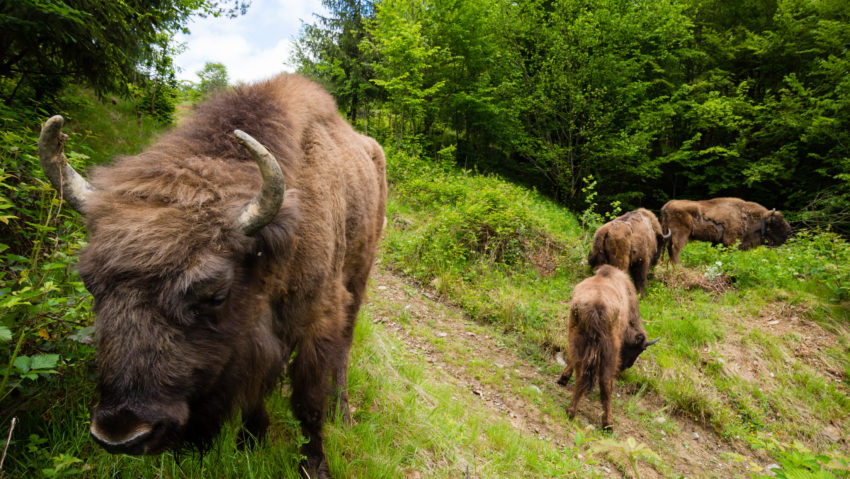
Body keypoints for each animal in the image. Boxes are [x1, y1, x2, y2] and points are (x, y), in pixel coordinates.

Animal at [36, 75, 386, 479]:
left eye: (214, 293)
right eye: (90, 283)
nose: (120, 433)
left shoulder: (319, 318)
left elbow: (308, 403)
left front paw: (315, 466)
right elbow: (256, 391)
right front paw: (250, 443)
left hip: (358, 278)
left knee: (344, 350)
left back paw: (342, 413)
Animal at [552, 266, 660, 432]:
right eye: (639, 350)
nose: (627, 366)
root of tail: (597, 307)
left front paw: (563, 379)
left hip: (577, 339)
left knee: (581, 372)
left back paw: (570, 411)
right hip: (610, 351)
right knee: (606, 382)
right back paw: (608, 424)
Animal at [660, 198, 792, 266]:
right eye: (777, 223)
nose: (789, 232)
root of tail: (667, 206)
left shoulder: (719, 242)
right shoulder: (731, 241)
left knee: (669, 249)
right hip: (681, 235)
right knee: (675, 249)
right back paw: (679, 266)